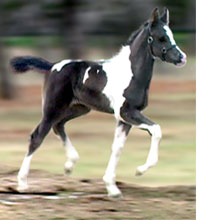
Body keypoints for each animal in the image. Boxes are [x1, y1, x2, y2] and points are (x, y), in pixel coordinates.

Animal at [10, 8, 186, 198]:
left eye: (171, 35)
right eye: (161, 37)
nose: (181, 57)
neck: (131, 74)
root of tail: (52, 66)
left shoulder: (125, 118)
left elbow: (117, 147)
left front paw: (112, 188)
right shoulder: (126, 112)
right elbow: (156, 130)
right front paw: (139, 170)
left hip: (78, 108)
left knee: (59, 126)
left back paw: (70, 164)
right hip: (53, 108)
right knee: (37, 136)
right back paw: (22, 184)